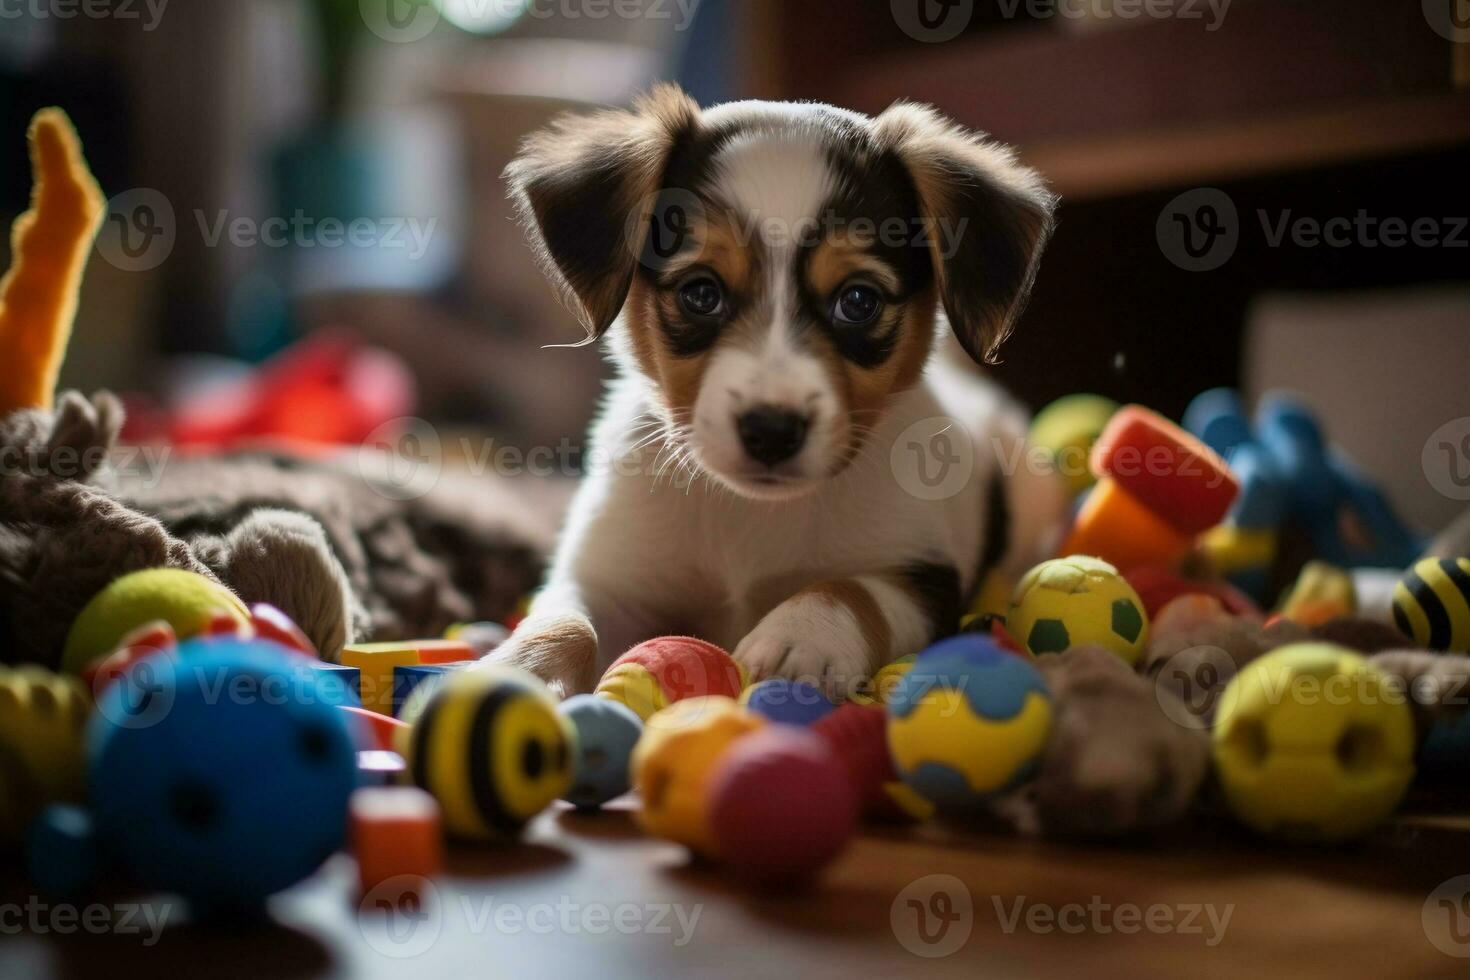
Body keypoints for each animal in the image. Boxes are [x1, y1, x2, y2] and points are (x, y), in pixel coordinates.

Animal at [496, 86, 1070, 696]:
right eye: (701, 293)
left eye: (858, 300)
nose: (771, 431)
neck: (753, 517)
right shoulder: (604, 578)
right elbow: (563, 622)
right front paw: (520, 668)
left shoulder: (924, 577)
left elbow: (851, 588)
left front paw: (804, 635)